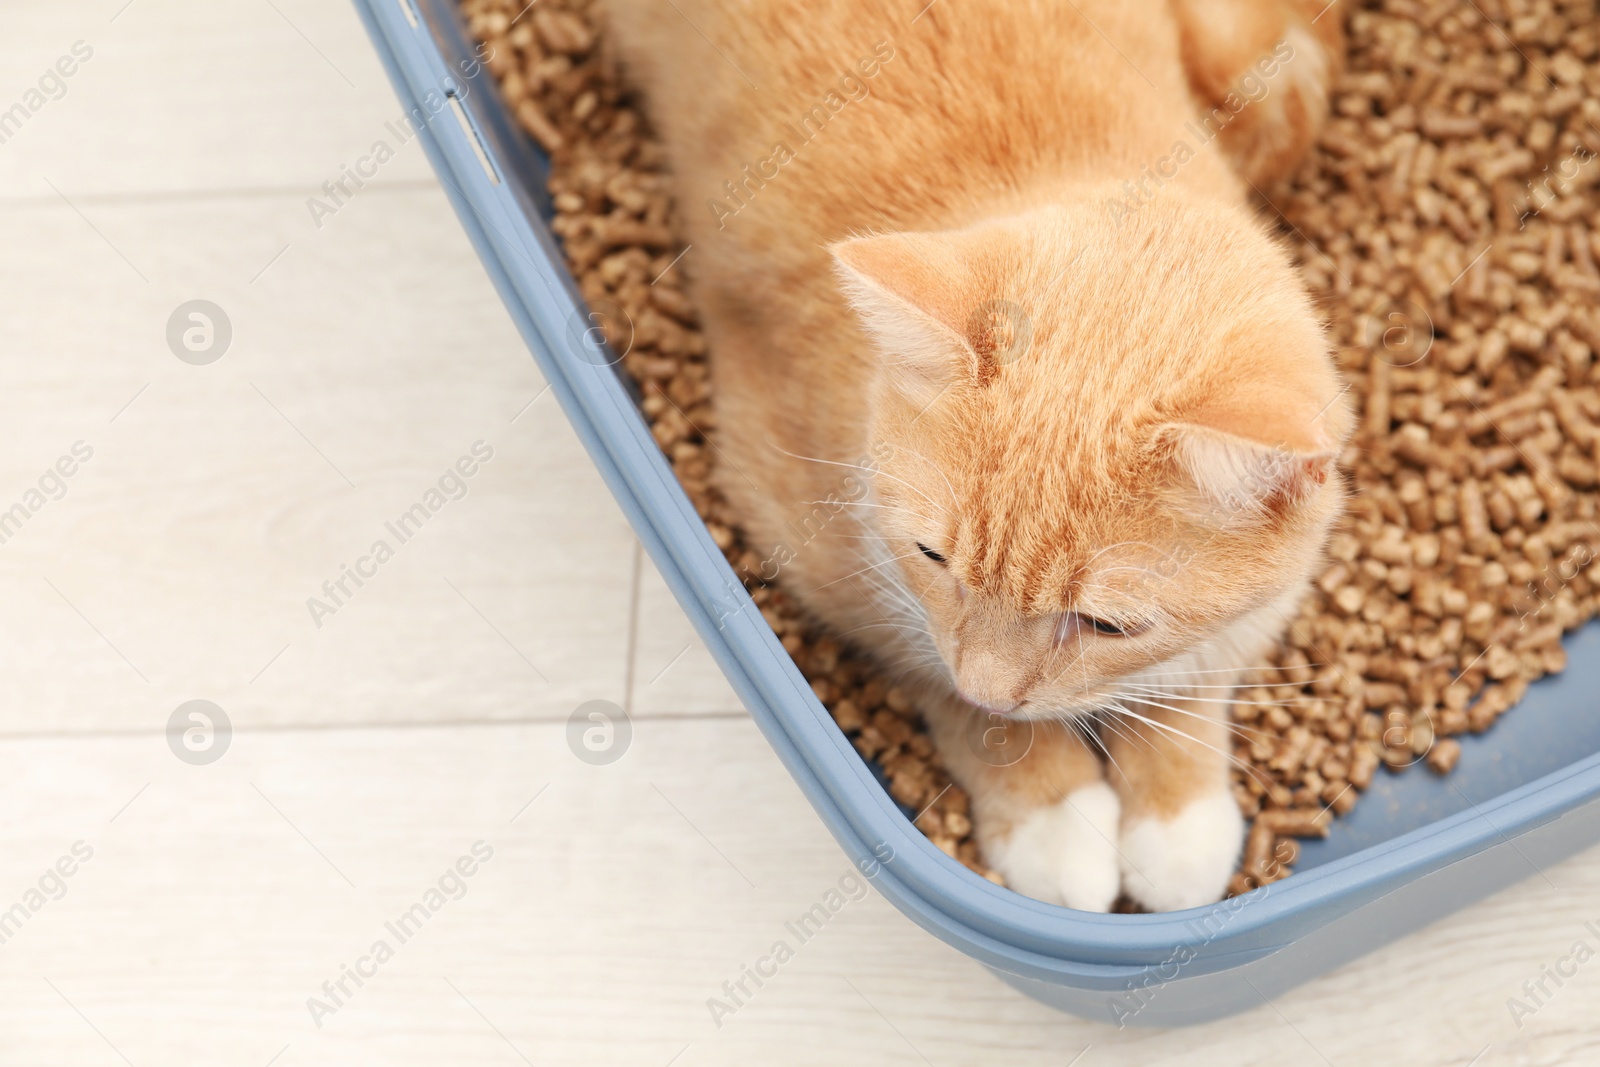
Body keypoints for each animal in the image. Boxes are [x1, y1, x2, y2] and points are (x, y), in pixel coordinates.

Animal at [604, 0, 1356, 915]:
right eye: (933, 557)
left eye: (1106, 625)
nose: (991, 688)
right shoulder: (800, 523)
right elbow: (929, 666)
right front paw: (1048, 811)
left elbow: (1193, 671)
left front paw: (1177, 809)